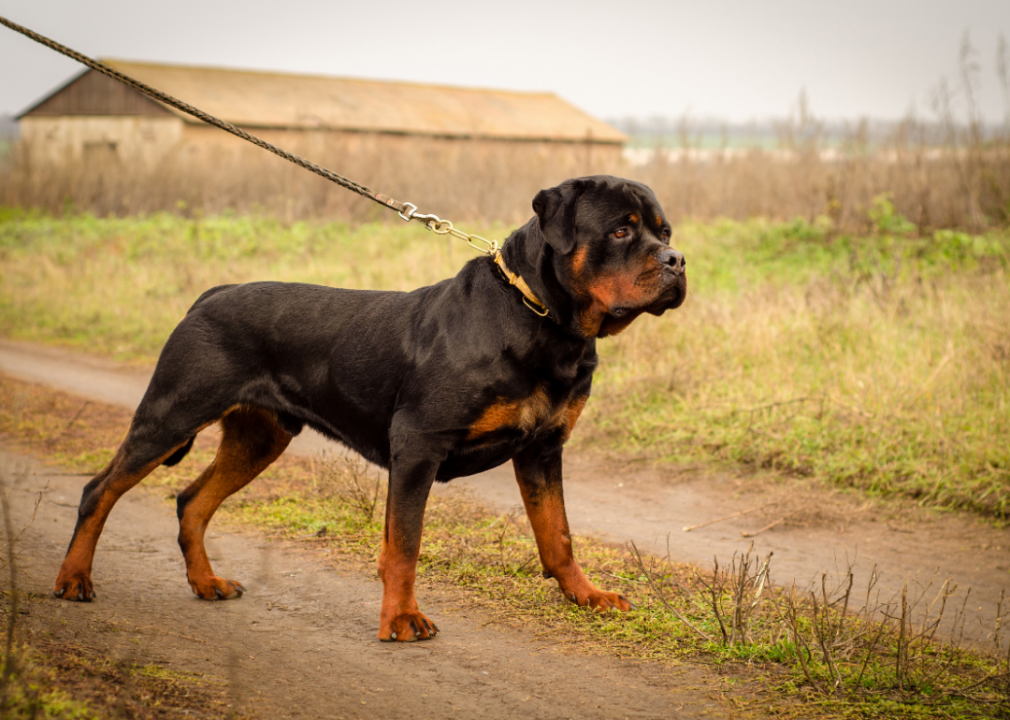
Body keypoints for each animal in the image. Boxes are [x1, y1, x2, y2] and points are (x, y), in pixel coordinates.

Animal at [53, 173, 686, 642]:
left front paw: (586, 595)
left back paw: (206, 583)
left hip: (260, 437)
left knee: (192, 500)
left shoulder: (542, 449)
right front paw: (401, 618)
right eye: (622, 231)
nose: (678, 260)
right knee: (100, 490)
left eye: (664, 231)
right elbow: (404, 545)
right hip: (171, 413)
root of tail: (209, 295)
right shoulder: (418, 447)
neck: (543, 321)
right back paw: (74, 579)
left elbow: (559, 536)